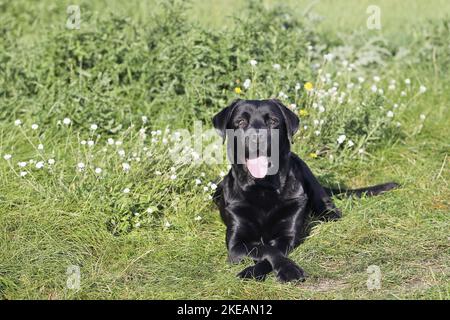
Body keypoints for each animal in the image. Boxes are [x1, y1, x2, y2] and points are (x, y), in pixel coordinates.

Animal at [212, 99, 398, 282]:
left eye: (273, 121)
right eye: (241, 122)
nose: (257, 139)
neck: (263, 188)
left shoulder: (287, 235)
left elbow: (273, 250)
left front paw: (281, 270)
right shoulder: (236, 243)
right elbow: (265, 249)